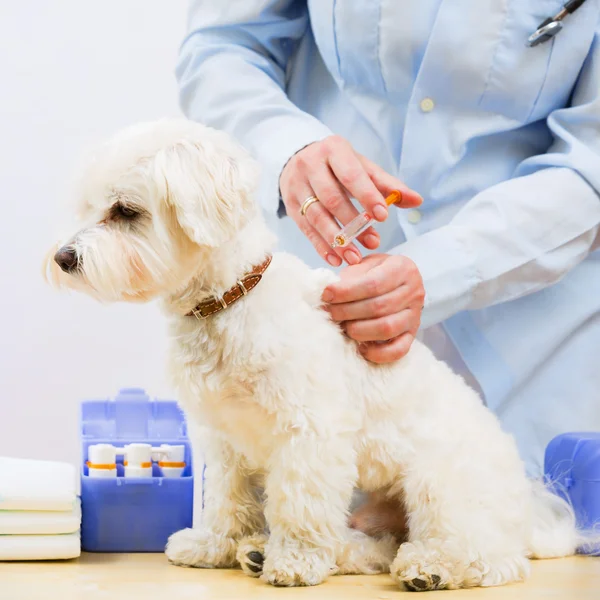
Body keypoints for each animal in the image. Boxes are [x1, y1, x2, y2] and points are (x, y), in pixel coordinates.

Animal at [48, 118, 584, 592]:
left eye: (125, 210)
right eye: (88, 208)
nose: (62, 258)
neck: (229, 302)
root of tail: (530, 512)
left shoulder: (309, 435)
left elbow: (300, 507)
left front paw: (295, 562)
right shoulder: (222, 439)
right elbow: (225, 500)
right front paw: (215, 545)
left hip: (440, 487)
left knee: (489, 558)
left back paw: (430, 568)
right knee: (377, 547)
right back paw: (263, 550)